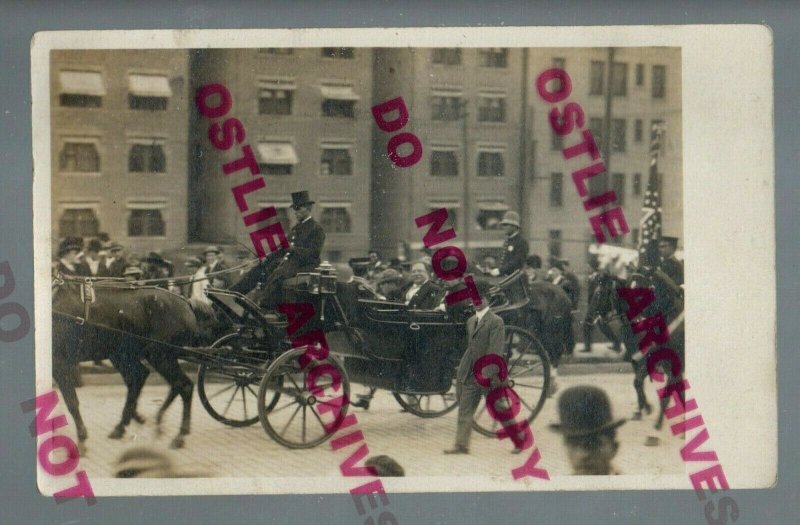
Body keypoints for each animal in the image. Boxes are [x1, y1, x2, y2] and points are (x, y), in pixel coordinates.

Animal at [52, 278, 217, 450]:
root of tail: (186, 302)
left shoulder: (59, 362)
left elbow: (71, 401)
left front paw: (82, 438)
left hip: (159, 355)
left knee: (182, 385)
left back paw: (179, 435)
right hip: (126, 354)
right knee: (142, 378)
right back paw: (131, 423)